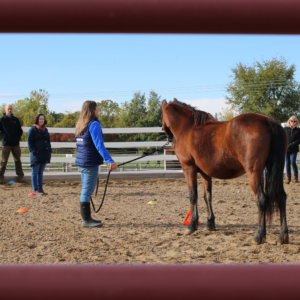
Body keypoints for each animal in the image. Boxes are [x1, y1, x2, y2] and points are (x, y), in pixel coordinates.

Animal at [163, 98, 290, 244]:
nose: (167, 136)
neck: (187, 127)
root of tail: (268, 121)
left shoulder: (188, 168)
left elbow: (193, 195)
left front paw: (192, 225)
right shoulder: (205, 173)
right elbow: (207, 196)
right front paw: (210, 224)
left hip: (254, 174)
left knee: (261, 199)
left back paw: (259, 235)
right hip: (276, 171)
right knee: (281, 197)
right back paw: (283, 236)